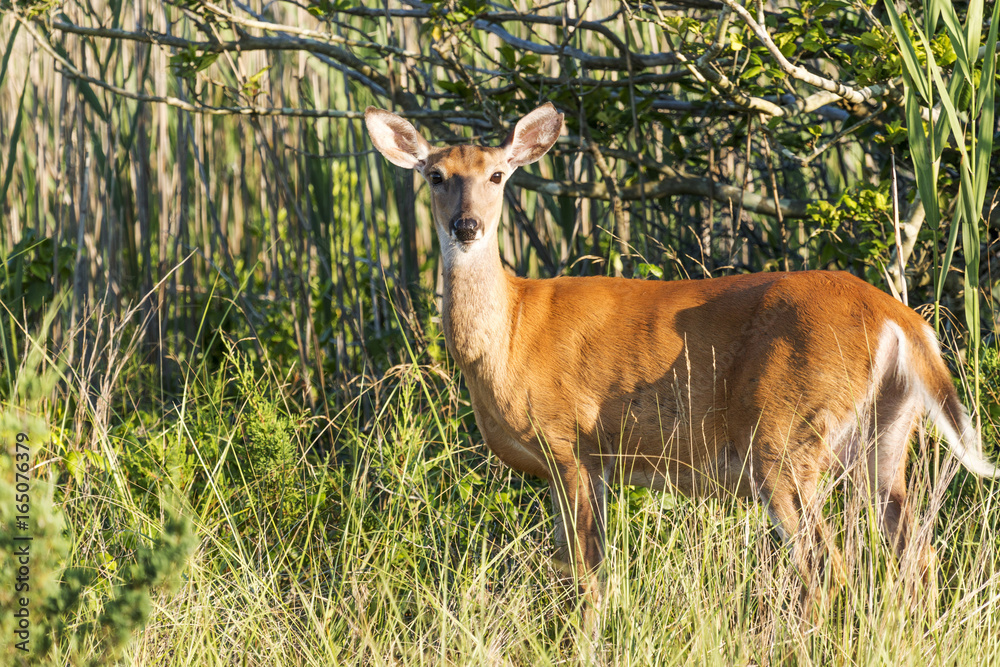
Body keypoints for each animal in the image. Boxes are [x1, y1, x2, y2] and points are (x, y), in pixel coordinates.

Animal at [364, 102, 1000, 620]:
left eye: (497, 174)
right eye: (436, 175)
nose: (466, 225)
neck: (511, 335)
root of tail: (901, 320)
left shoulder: (570, 442)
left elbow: (585, 578)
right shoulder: (594, 465)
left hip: (785, 430)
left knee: (827, 565)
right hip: (885, 435)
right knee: (915, 555)